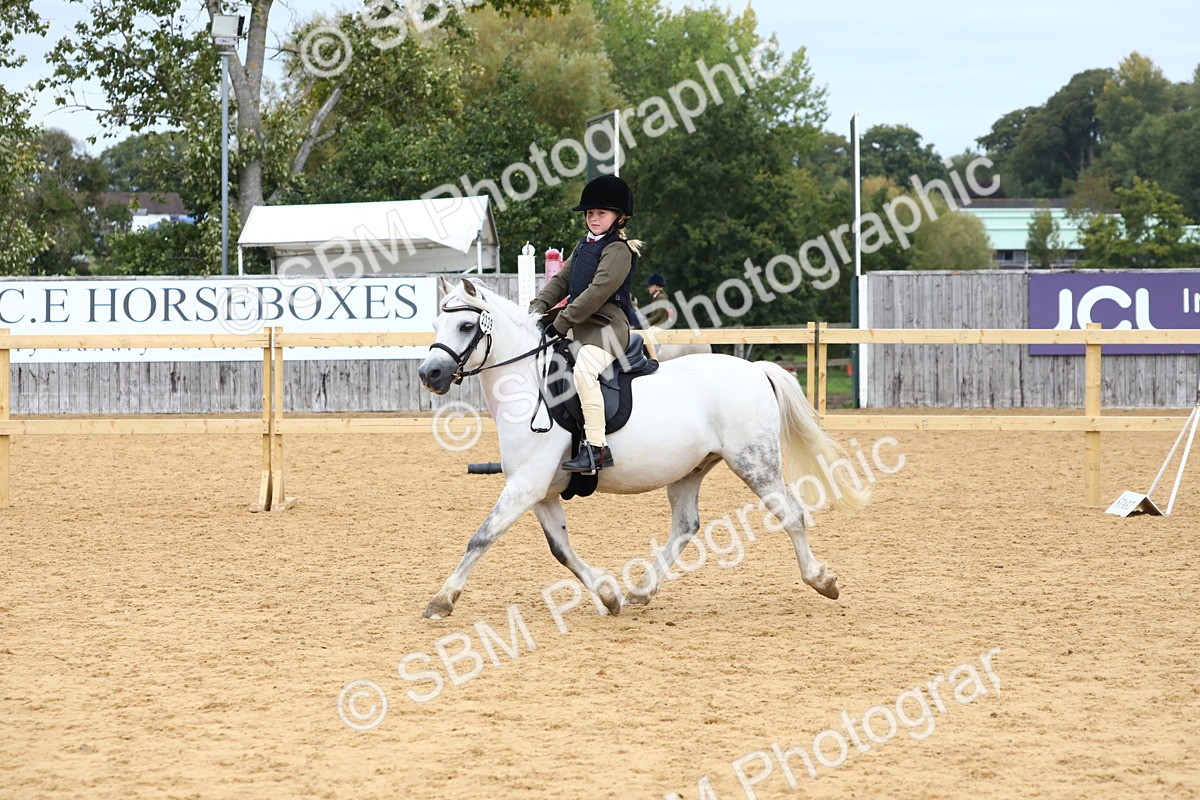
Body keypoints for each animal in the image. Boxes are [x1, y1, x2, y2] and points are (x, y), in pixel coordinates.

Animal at [416, 278, 868, 619]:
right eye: (437, 322)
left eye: (463, 326)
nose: (429, 374)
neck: (529, 383)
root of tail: (755, 370)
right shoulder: (540, 491)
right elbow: (560, 550)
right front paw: (608, 594)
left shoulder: (526, 485)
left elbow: (481, 538)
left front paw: (441, 601)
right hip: (689, 470)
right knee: (685, 526)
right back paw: (641, 591)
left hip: (754, 463)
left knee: (790, 513)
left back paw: (821, 581)